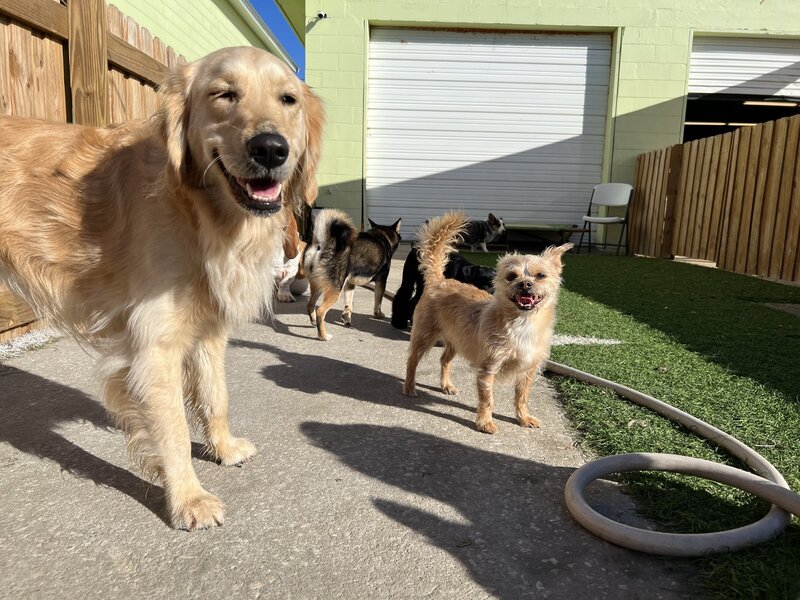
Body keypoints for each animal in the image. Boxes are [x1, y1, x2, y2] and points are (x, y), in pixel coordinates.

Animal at [302, 209, 400, 340]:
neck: (382, 236)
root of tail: (321, 245)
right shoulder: (381, 282)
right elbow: (378, 302)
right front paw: (378, 314)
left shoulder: (349, 285)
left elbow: (348, 305)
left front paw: (347, 319)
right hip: (334, 290)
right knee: (320, 311)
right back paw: (323, 336)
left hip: (318, 285)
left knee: (310, 305)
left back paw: (314, 323)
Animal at [404, 213, 572, 434]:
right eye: (511, 276)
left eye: (540, 276)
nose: (525, 283)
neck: (522, 323)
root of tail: (439, 280)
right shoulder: (488, 369)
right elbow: (487, 399)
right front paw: (485, 422)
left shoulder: (527, 371)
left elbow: (522, 397)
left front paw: (523, 417)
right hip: (424, 336)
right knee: (412, 361)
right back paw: (409, 386)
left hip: (456, 340)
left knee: (444, 360)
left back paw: (446, 385)